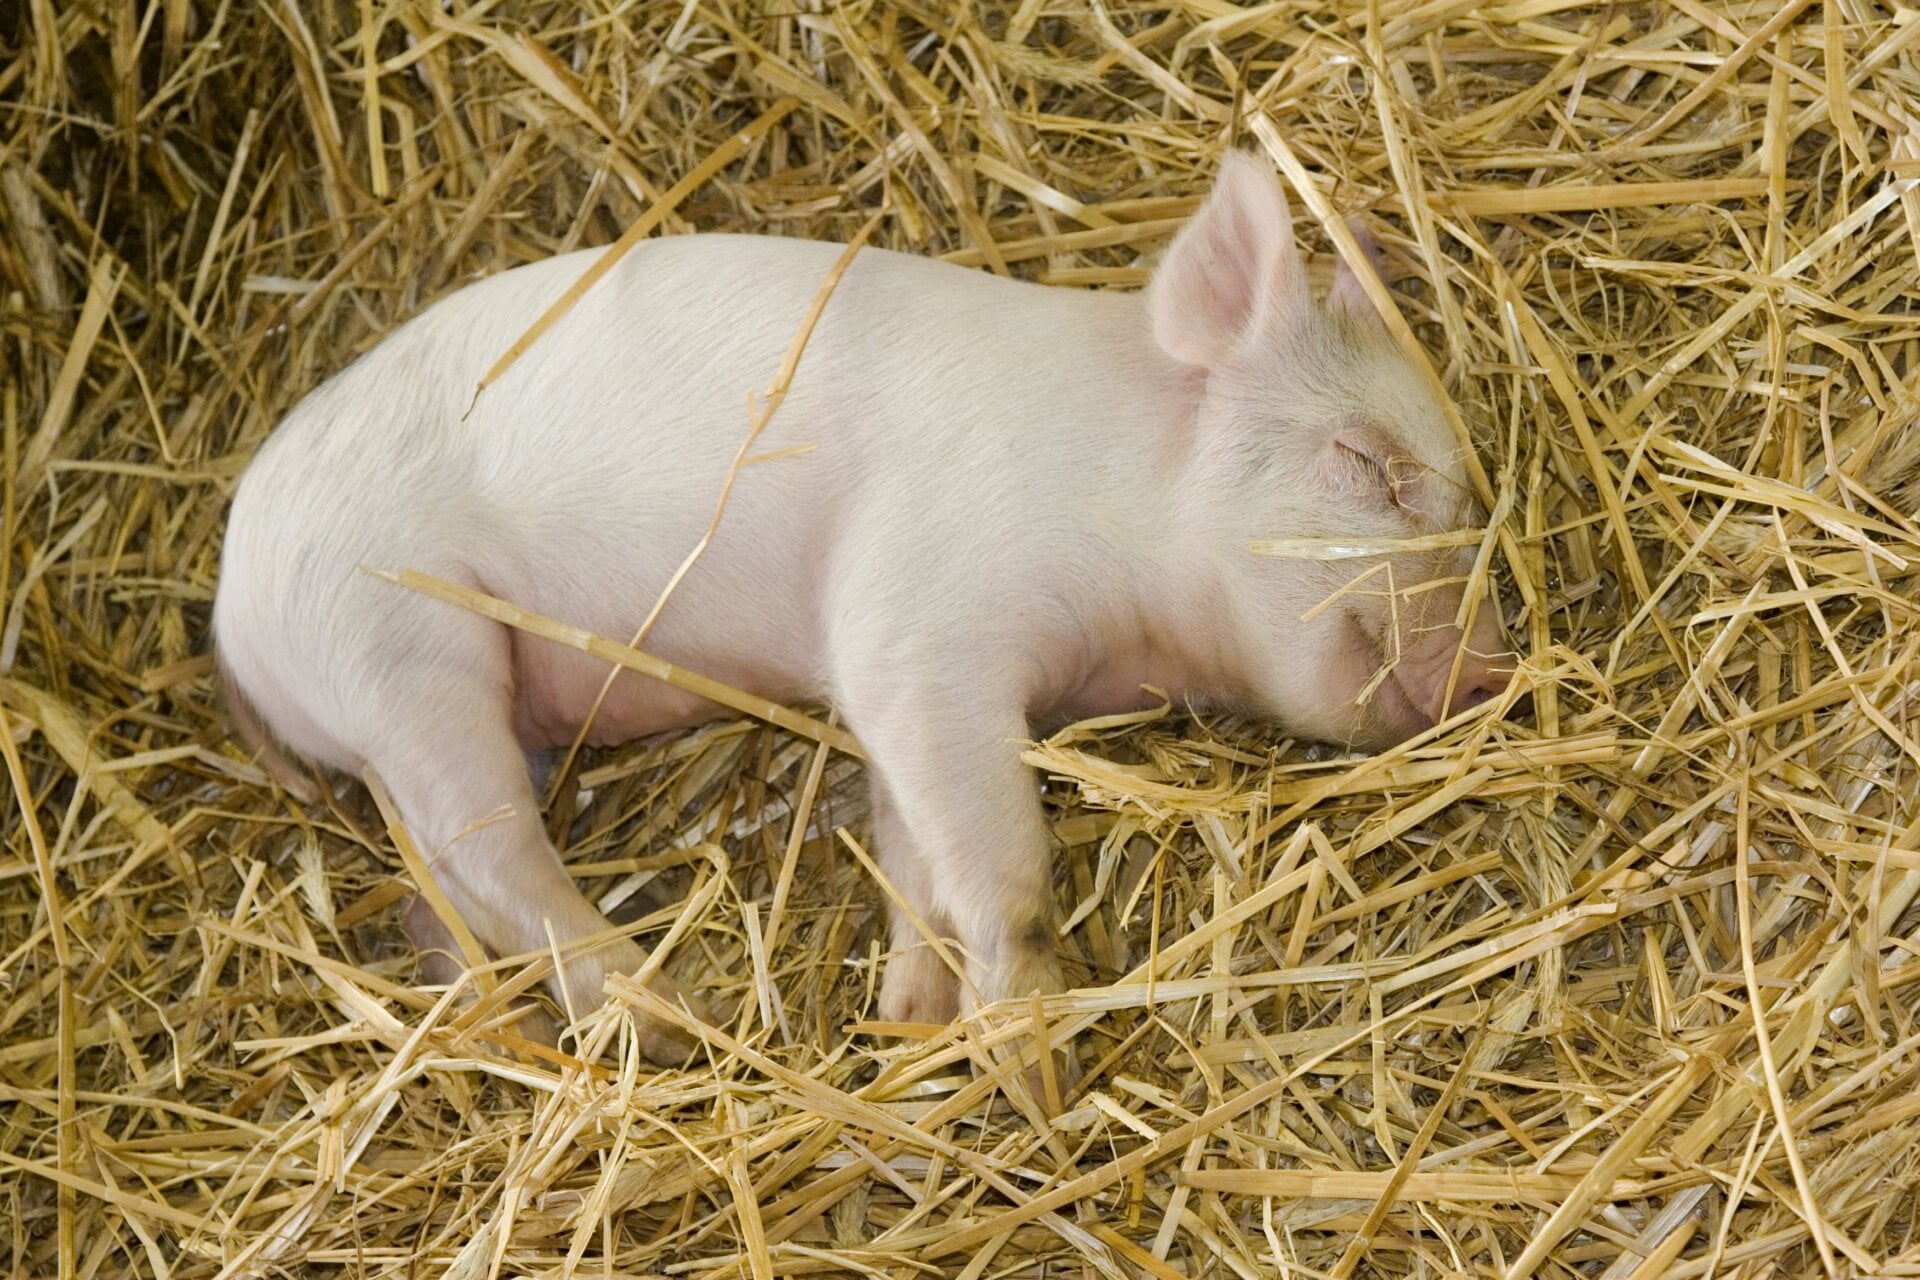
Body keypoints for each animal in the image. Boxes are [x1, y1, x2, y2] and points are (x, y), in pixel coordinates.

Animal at [213, 152, 1513, 1063]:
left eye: (1470, 498)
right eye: (1369, 461)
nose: (1497, 671)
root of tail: (228, 609)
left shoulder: (892, 689)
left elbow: (908, 844)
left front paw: (909, 1019)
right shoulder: (918, 615)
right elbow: (995, 852)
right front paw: (1031, 1047)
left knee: (432, 888)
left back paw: (520, 1032)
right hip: (402, 654)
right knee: (488, 850)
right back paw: (673, 1020)